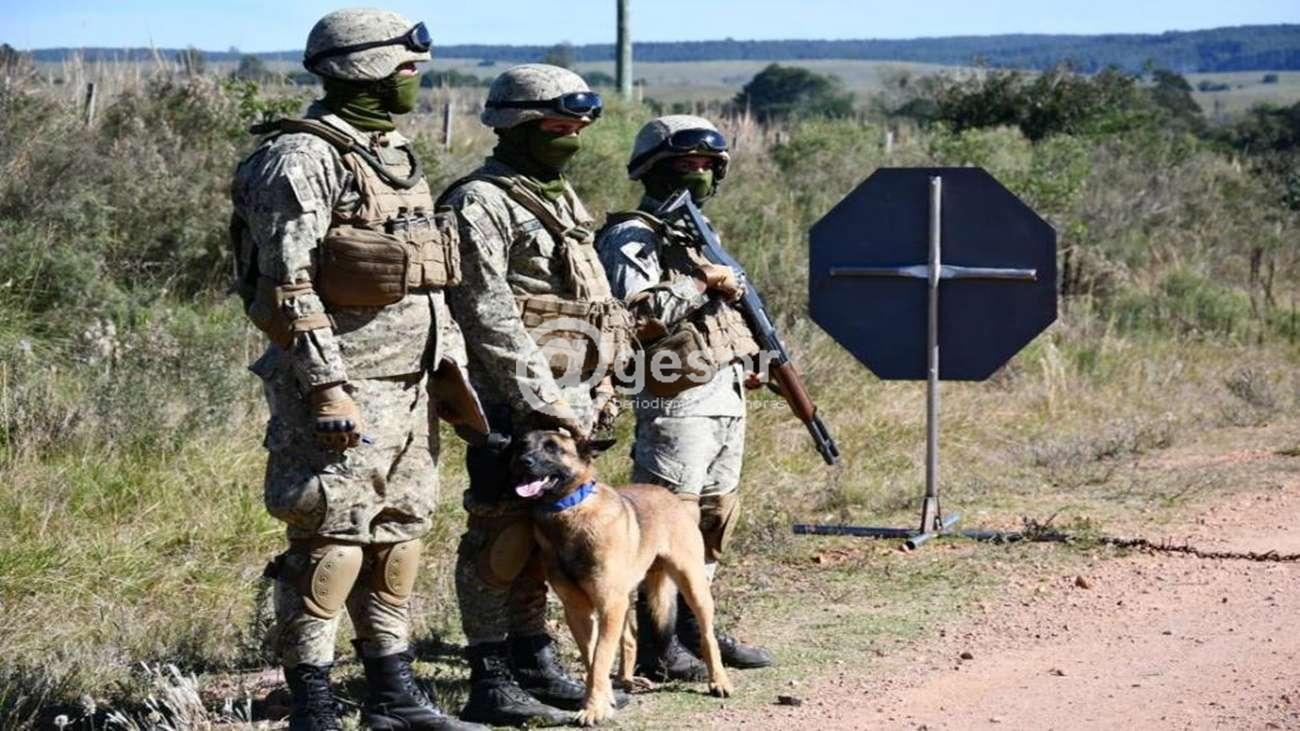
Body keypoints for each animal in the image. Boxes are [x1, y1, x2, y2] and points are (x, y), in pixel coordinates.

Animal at [511, 429, 733, 726]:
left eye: (553, 448)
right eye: (523, 445)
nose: (523, 462)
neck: (567, 510)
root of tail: (667, 493)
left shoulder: (607, 606)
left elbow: (600, 658)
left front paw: (594, 708)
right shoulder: (579, 611)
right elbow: (592, 660)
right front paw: (603, 699)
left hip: (692, 585)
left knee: (707, 636)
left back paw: (718, 680)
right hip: (625, 599)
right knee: (630, 638)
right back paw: (625, 680)